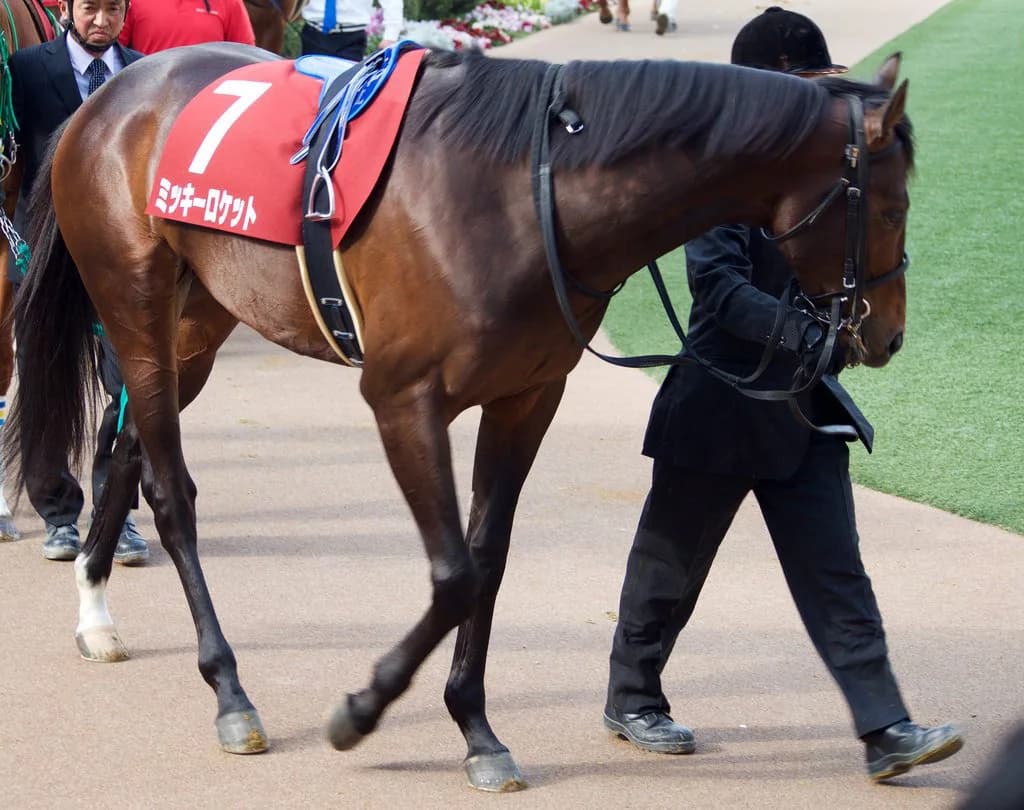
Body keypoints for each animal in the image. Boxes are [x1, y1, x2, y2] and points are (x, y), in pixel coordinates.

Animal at [7, 43, 913, 791]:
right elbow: (453, 574)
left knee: (126, 446)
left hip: (199, 319)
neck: (524, 191)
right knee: (172, 493)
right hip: (134, 304)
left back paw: (96, 611)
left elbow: (489, 559)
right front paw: (361, 710)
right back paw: (229, 692)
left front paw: (478, 733)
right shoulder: (403, 398)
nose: (889, 336)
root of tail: (106, 97)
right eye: (894, 205)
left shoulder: (526, 398)